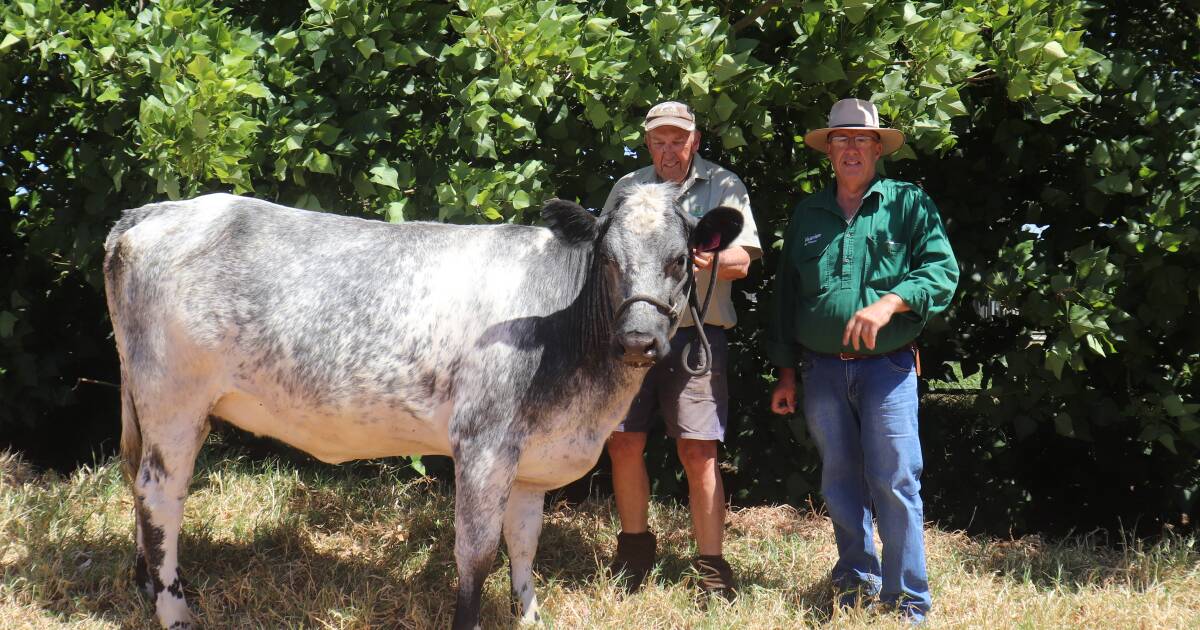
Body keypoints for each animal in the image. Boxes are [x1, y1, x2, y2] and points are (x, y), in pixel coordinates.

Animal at [103, 186, 739, 628]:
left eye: (680, 260)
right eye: (608, 259)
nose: (638, 340)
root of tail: (153, 212)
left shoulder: (532, 458)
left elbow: (524, 541)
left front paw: (531, 614)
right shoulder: (483, 442)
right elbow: (475, 553)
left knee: (138, 482)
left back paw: (148, 585)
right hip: (173, 398)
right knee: (161, 493)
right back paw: (175, 611)